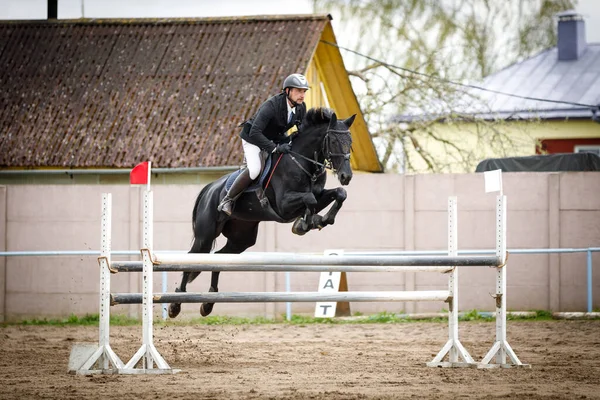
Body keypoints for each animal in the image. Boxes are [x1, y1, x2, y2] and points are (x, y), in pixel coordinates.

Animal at [168, 107, 356, 318]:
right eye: (333, 141)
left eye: (350, 143)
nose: (346, 176)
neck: (302, 161)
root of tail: (209, 188)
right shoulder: (284, 205)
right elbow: (310, 199)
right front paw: (304, 223)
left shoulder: (320, 194)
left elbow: (339, 193)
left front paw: (319, 220)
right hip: (205, 236)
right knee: (191, 259)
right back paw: (176, 303)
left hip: (242, 238)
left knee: (219, 258)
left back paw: (209, 302)